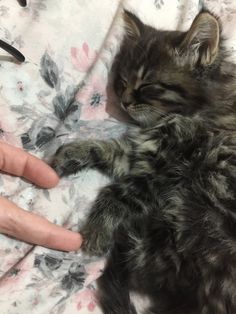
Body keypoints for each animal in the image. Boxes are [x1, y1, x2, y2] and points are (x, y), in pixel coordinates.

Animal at [51, 9, 236, 314]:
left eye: (148, 86)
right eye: (123, 82)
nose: (124, 102)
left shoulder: (166, 174)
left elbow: (115, 191)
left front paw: (96, 230)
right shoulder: (141, 156)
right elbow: (106, 148)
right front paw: (71, 153)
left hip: (188, 217)